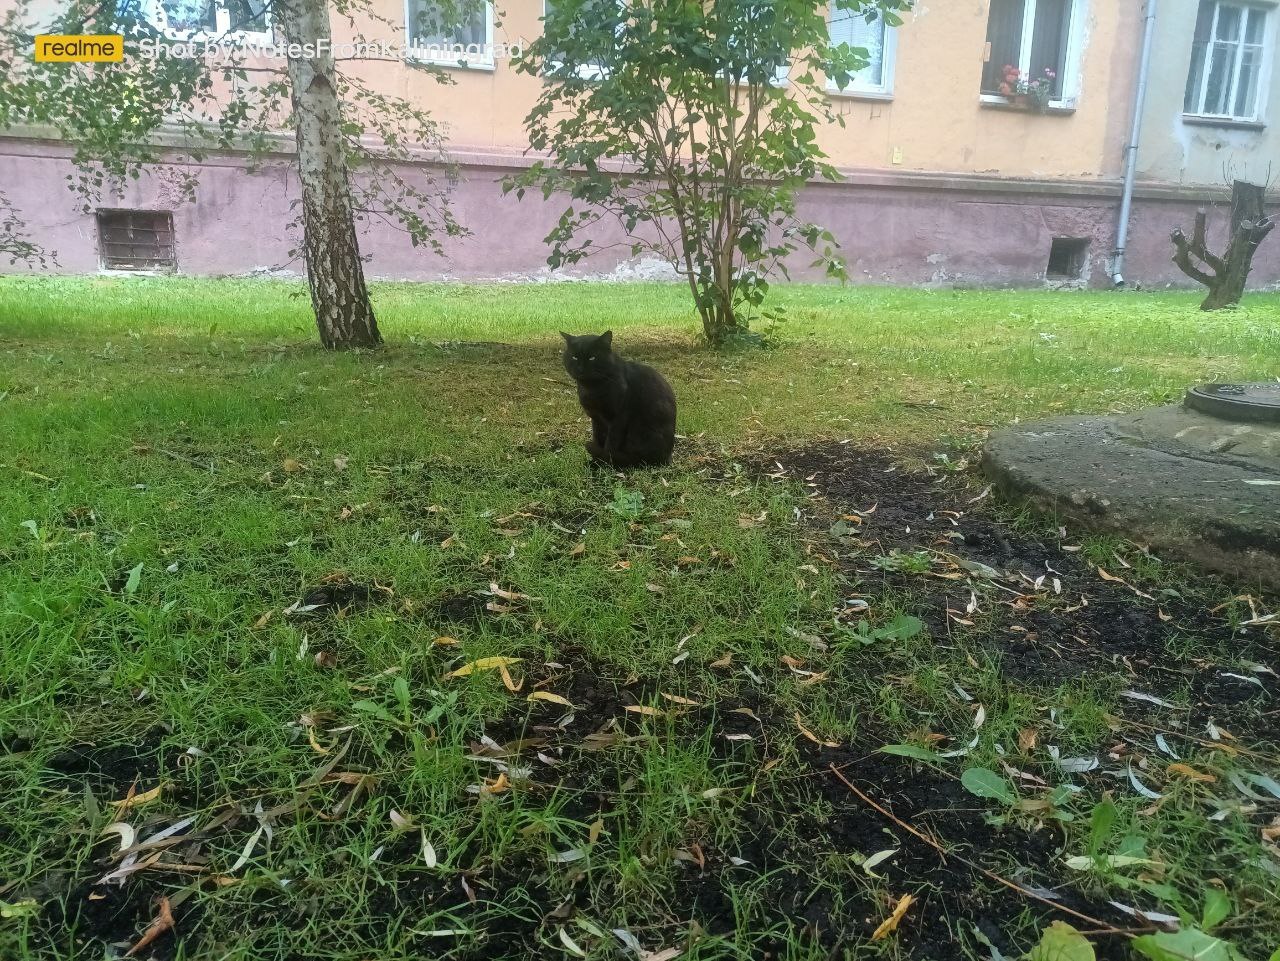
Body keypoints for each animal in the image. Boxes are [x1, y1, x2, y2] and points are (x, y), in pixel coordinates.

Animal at [563, 330, 680, 470]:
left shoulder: (618, 418)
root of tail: (668, 456)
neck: (590, 389)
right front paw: (595, 462)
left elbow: (610, 444)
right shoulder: (596, 419)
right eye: (574, 357)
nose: (580, 369)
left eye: (592, 358)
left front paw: (604, 465)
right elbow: (597, 438)